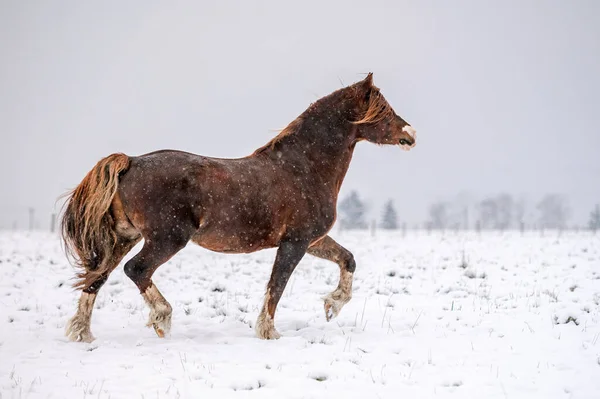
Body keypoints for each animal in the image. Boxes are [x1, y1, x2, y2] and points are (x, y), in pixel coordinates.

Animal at [62, 73, 418, 342]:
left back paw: (83, 334)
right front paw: (269, 332)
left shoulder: (313, 240)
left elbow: (348, 260)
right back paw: (161, 318)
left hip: (125, 238)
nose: (410, 134)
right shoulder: (295, 242)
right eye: (383, 109)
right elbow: (277, 286)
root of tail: (131, 162)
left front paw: (332, 306)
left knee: (96, 277)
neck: (304, 167)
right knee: (135, 270)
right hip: (167, 238)